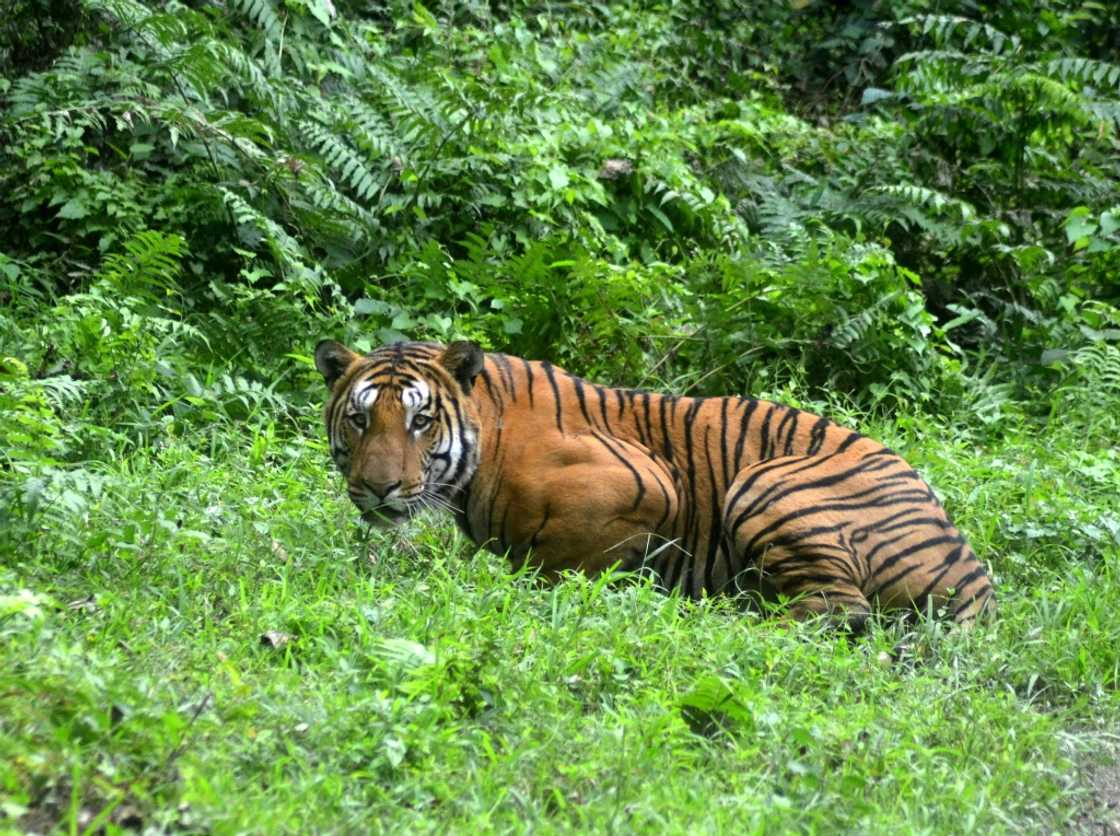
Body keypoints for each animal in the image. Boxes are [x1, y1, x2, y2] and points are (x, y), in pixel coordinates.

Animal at [314, 339, 995, 630]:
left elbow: (560, 561)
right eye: (360, 418)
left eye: (420, 421)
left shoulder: (647, 483)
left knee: (837, 612)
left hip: (766, 482)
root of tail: (973, 574)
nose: (378, 488)